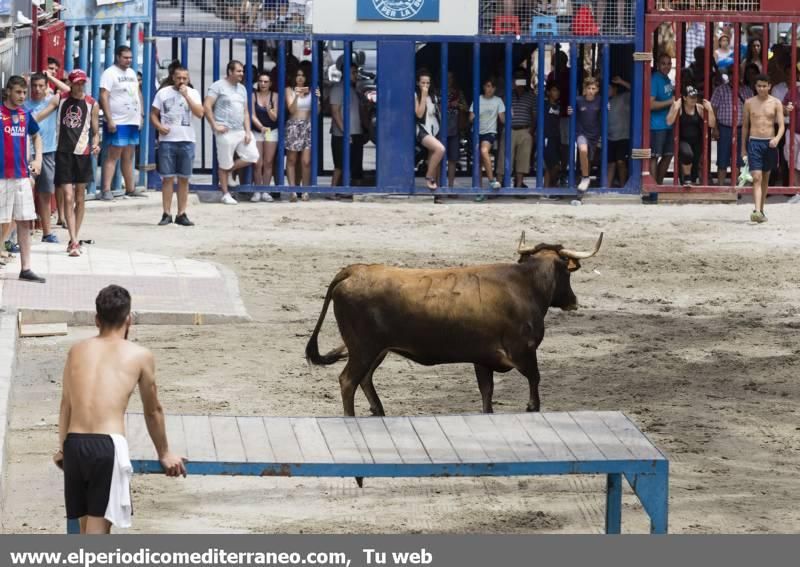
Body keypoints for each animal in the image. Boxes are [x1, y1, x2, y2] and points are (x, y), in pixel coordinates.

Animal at [304, 232, 600, 418]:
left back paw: (379, 411)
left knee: (365, 379)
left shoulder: (483, 358)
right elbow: (535, 380)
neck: (524, 285)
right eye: (567, 273)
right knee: (348, 381)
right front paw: (531, 407)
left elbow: (487, 393)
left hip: (376, 350)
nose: (573, 301)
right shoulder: (524, 351)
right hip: (364, 349)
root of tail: (354, 270)